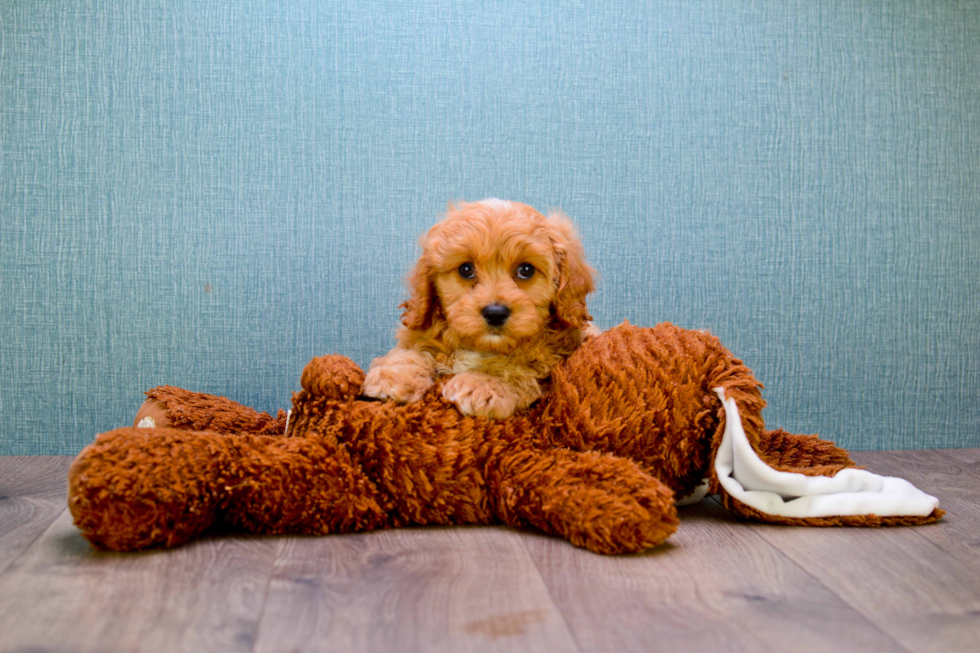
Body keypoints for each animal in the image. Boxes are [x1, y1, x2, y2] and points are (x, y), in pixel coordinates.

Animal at [364, 199, 596, 418]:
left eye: (526, 270)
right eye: (466, 269)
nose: (495, 313)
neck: (481, 347)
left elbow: (515, 367)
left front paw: (483, 383)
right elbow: (411, 351)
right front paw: (393, 376)